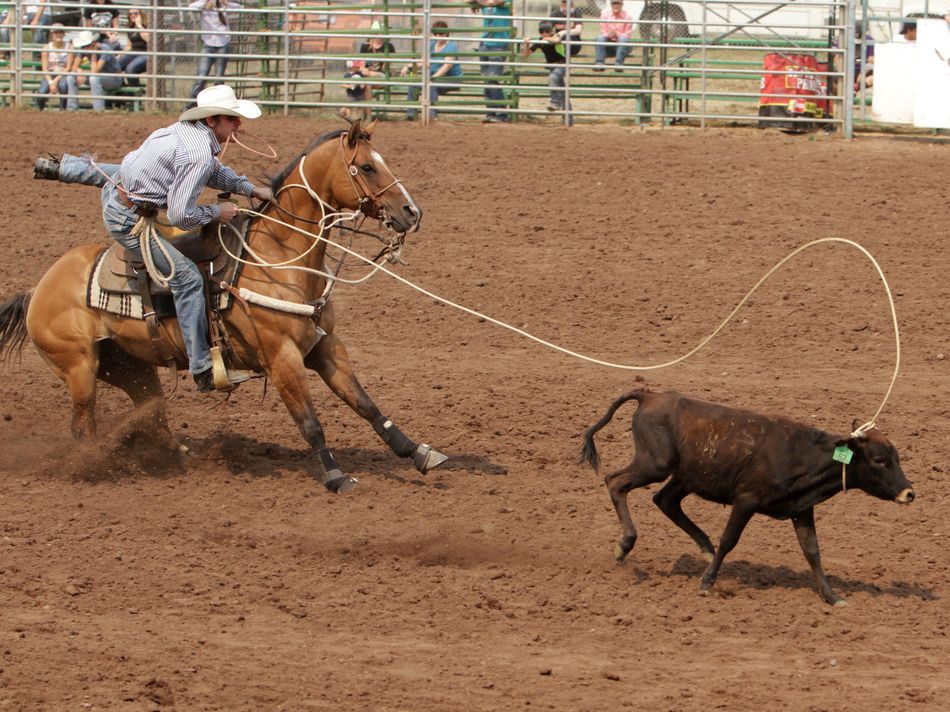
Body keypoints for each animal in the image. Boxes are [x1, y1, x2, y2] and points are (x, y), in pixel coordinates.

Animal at [580, 389, 915, 605]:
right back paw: (625, 544)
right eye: (879, 460)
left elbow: (812, 552)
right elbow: (729, 540)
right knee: (615, 482)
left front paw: (832, 597)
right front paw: (707, 582)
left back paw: (703, 548)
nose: (909, 492)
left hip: (685, 475)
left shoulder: (802, 509)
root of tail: (650, 395)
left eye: (896, 457)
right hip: (656, 463)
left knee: (665, 500)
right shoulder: (746, 499)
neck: (803, 453)